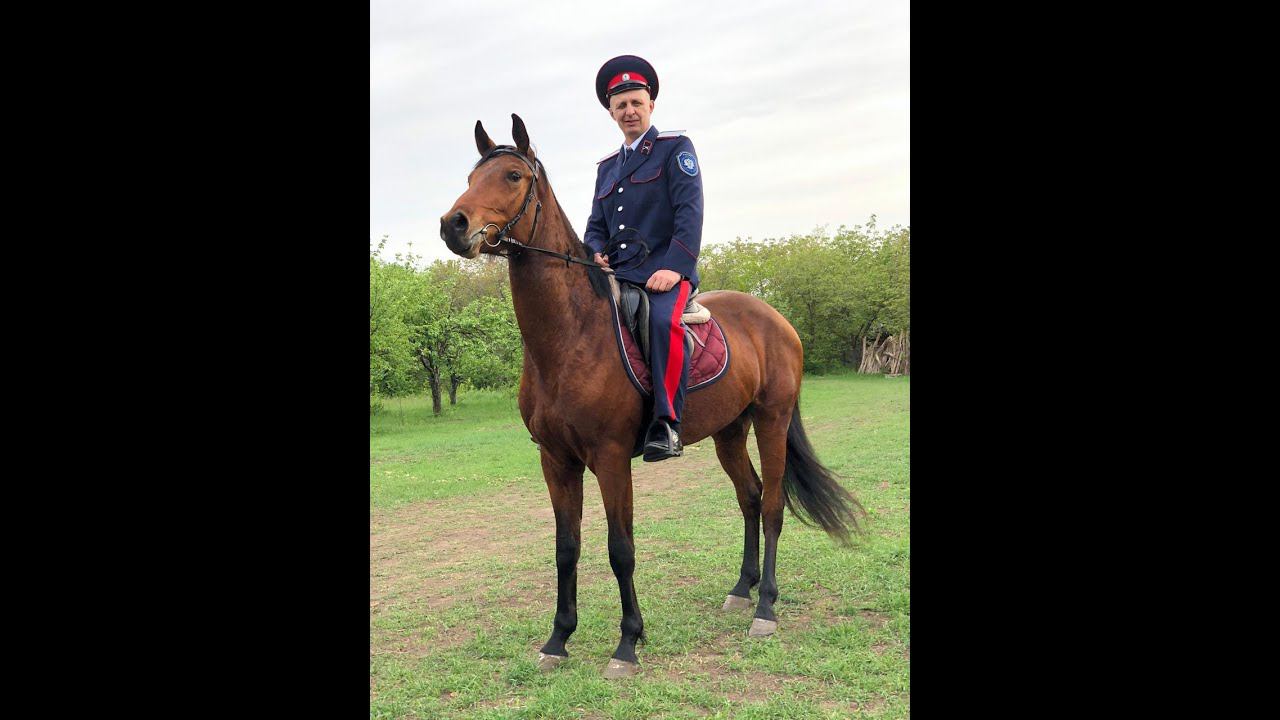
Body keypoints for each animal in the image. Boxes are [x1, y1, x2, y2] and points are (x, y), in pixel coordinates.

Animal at [439, 114, 862, 679]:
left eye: (512, 176)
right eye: (471, 175)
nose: (454, 225)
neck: (571, 335)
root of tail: (776, 319)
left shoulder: (612, 457)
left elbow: (621, 548)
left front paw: (627, 644)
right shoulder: (556, 460)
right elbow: (566, 548)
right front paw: (558, 639)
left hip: (771, 420)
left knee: (772, 505)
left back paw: (766, 608)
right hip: (730, 431)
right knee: (749, 498)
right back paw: (741, 590)